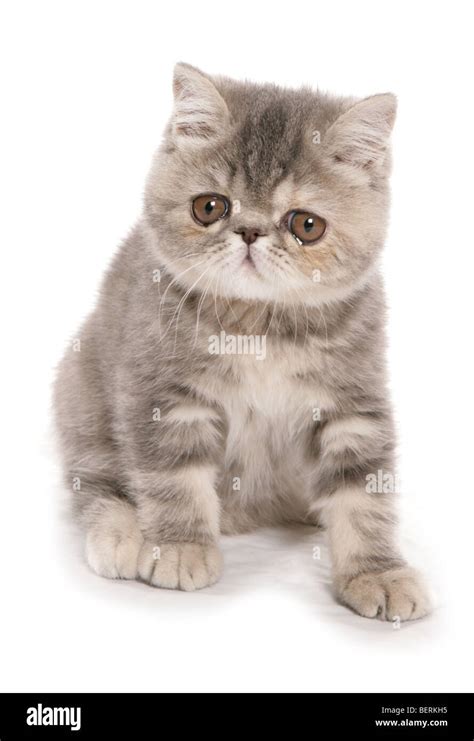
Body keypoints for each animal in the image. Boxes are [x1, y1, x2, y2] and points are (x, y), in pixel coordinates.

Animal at [53, 62, 432, 620]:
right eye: (210, 207)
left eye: (307, 225)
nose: (250, 232)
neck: (259, 329)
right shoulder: (160, 394)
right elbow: (173, 477)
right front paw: (181, 546)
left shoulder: (352, 403)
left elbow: (363, 492)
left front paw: (377, 573)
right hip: (81, 394)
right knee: (97, 484)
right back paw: (123, 535)